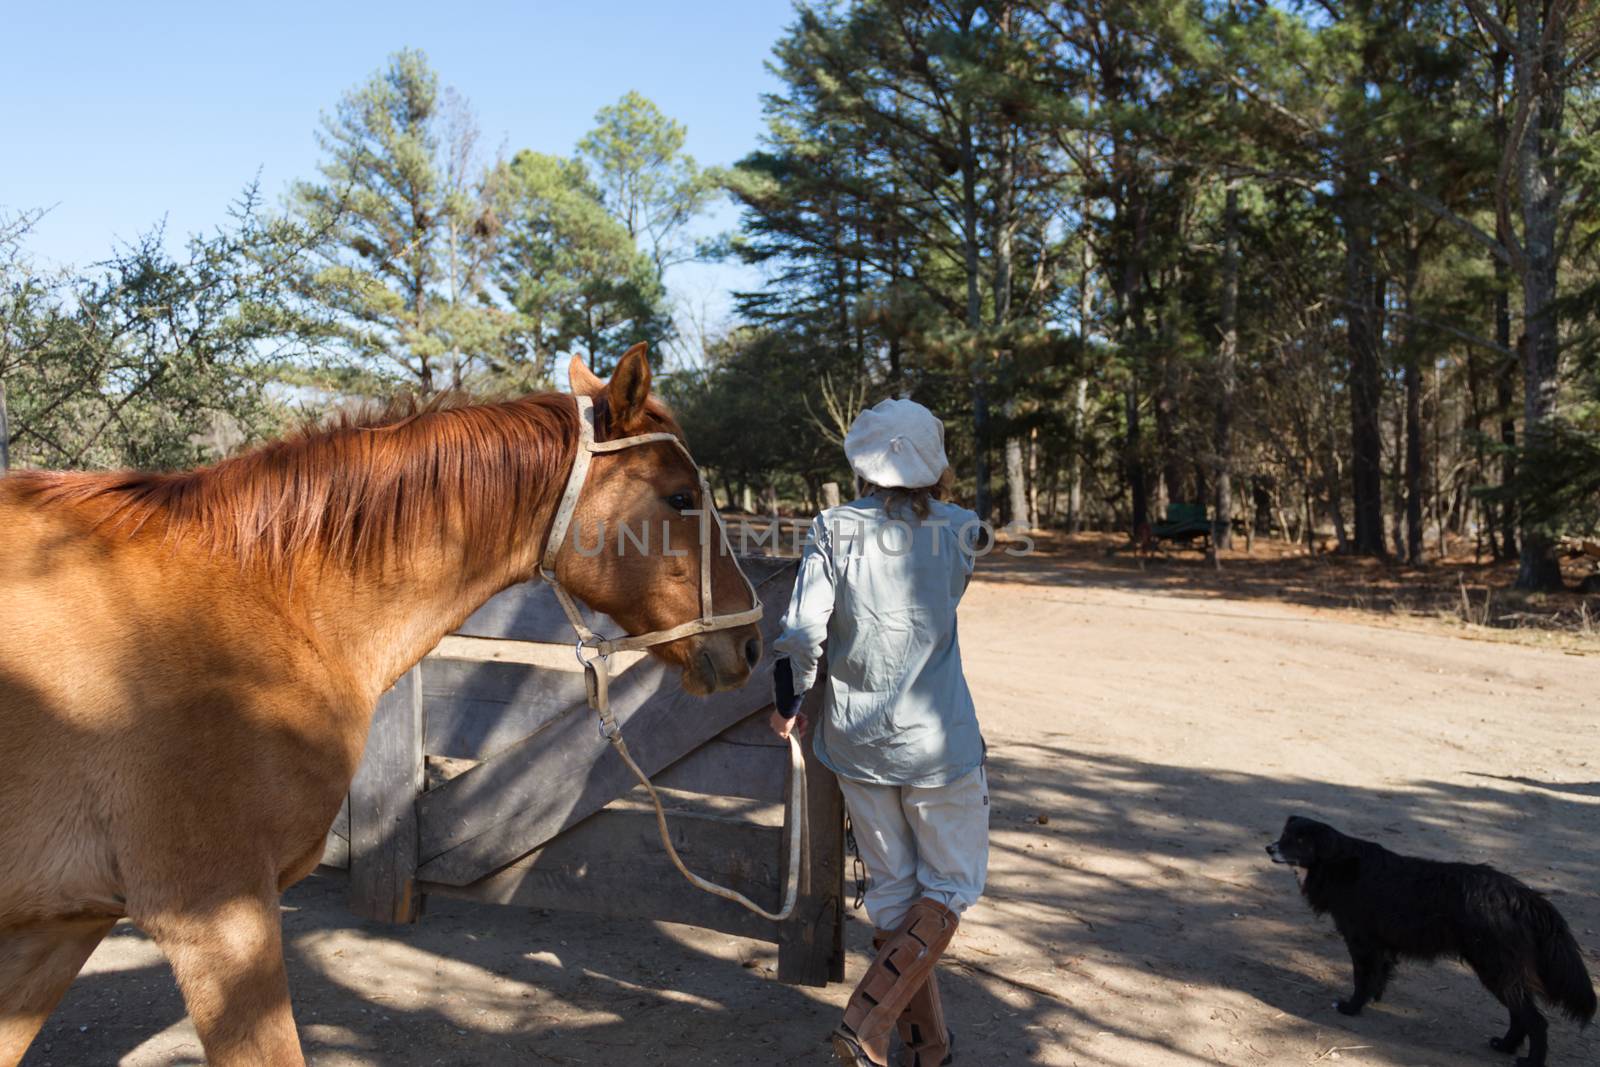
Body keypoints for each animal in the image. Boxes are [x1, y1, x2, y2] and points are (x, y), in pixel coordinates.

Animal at [1267, 812, 1593, 1062]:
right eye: (1284, 834)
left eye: (1299, 840)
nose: (1269, 848)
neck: (1337, 862)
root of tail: (1521, 895)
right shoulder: (1381, 946)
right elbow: (1379, 977)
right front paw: (1373, 999)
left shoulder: (1361, 942)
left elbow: (1362, 979)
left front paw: (1352, 1007)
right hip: (1504, 972)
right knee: (1520, 1015)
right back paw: (1505, 1046)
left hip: (1496, 968)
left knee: (1535, 1021)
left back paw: (1529, 1060)